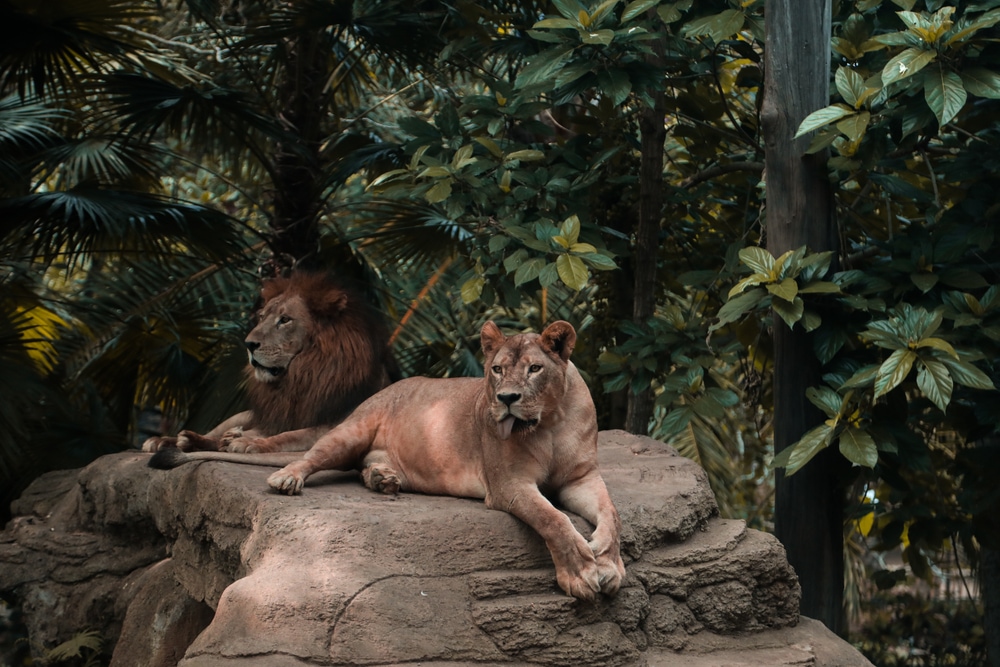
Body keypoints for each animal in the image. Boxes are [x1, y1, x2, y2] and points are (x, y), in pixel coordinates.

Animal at [142, 271, 395, 454]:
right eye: (262, 317)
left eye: (284, 320)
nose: (248, 344)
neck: (304, 373)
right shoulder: (274, 419)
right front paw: (241, 439)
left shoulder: (333, 426)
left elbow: (289, 435)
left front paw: (250, 443)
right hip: (240, 416)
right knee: (213, 433)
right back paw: (168, 440)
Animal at [149, 320, 625, 600]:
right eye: (496, 370)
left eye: (534, 369)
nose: (507, 399)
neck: (550, 421)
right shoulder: (509, 485)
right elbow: (553, 520)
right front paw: (581, 573)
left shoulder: (582, 477)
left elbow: (611, 513)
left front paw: (607, 559)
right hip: (350, 430)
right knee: (310, 455)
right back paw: (285, 477)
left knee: (360, 466)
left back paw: (383, 478)